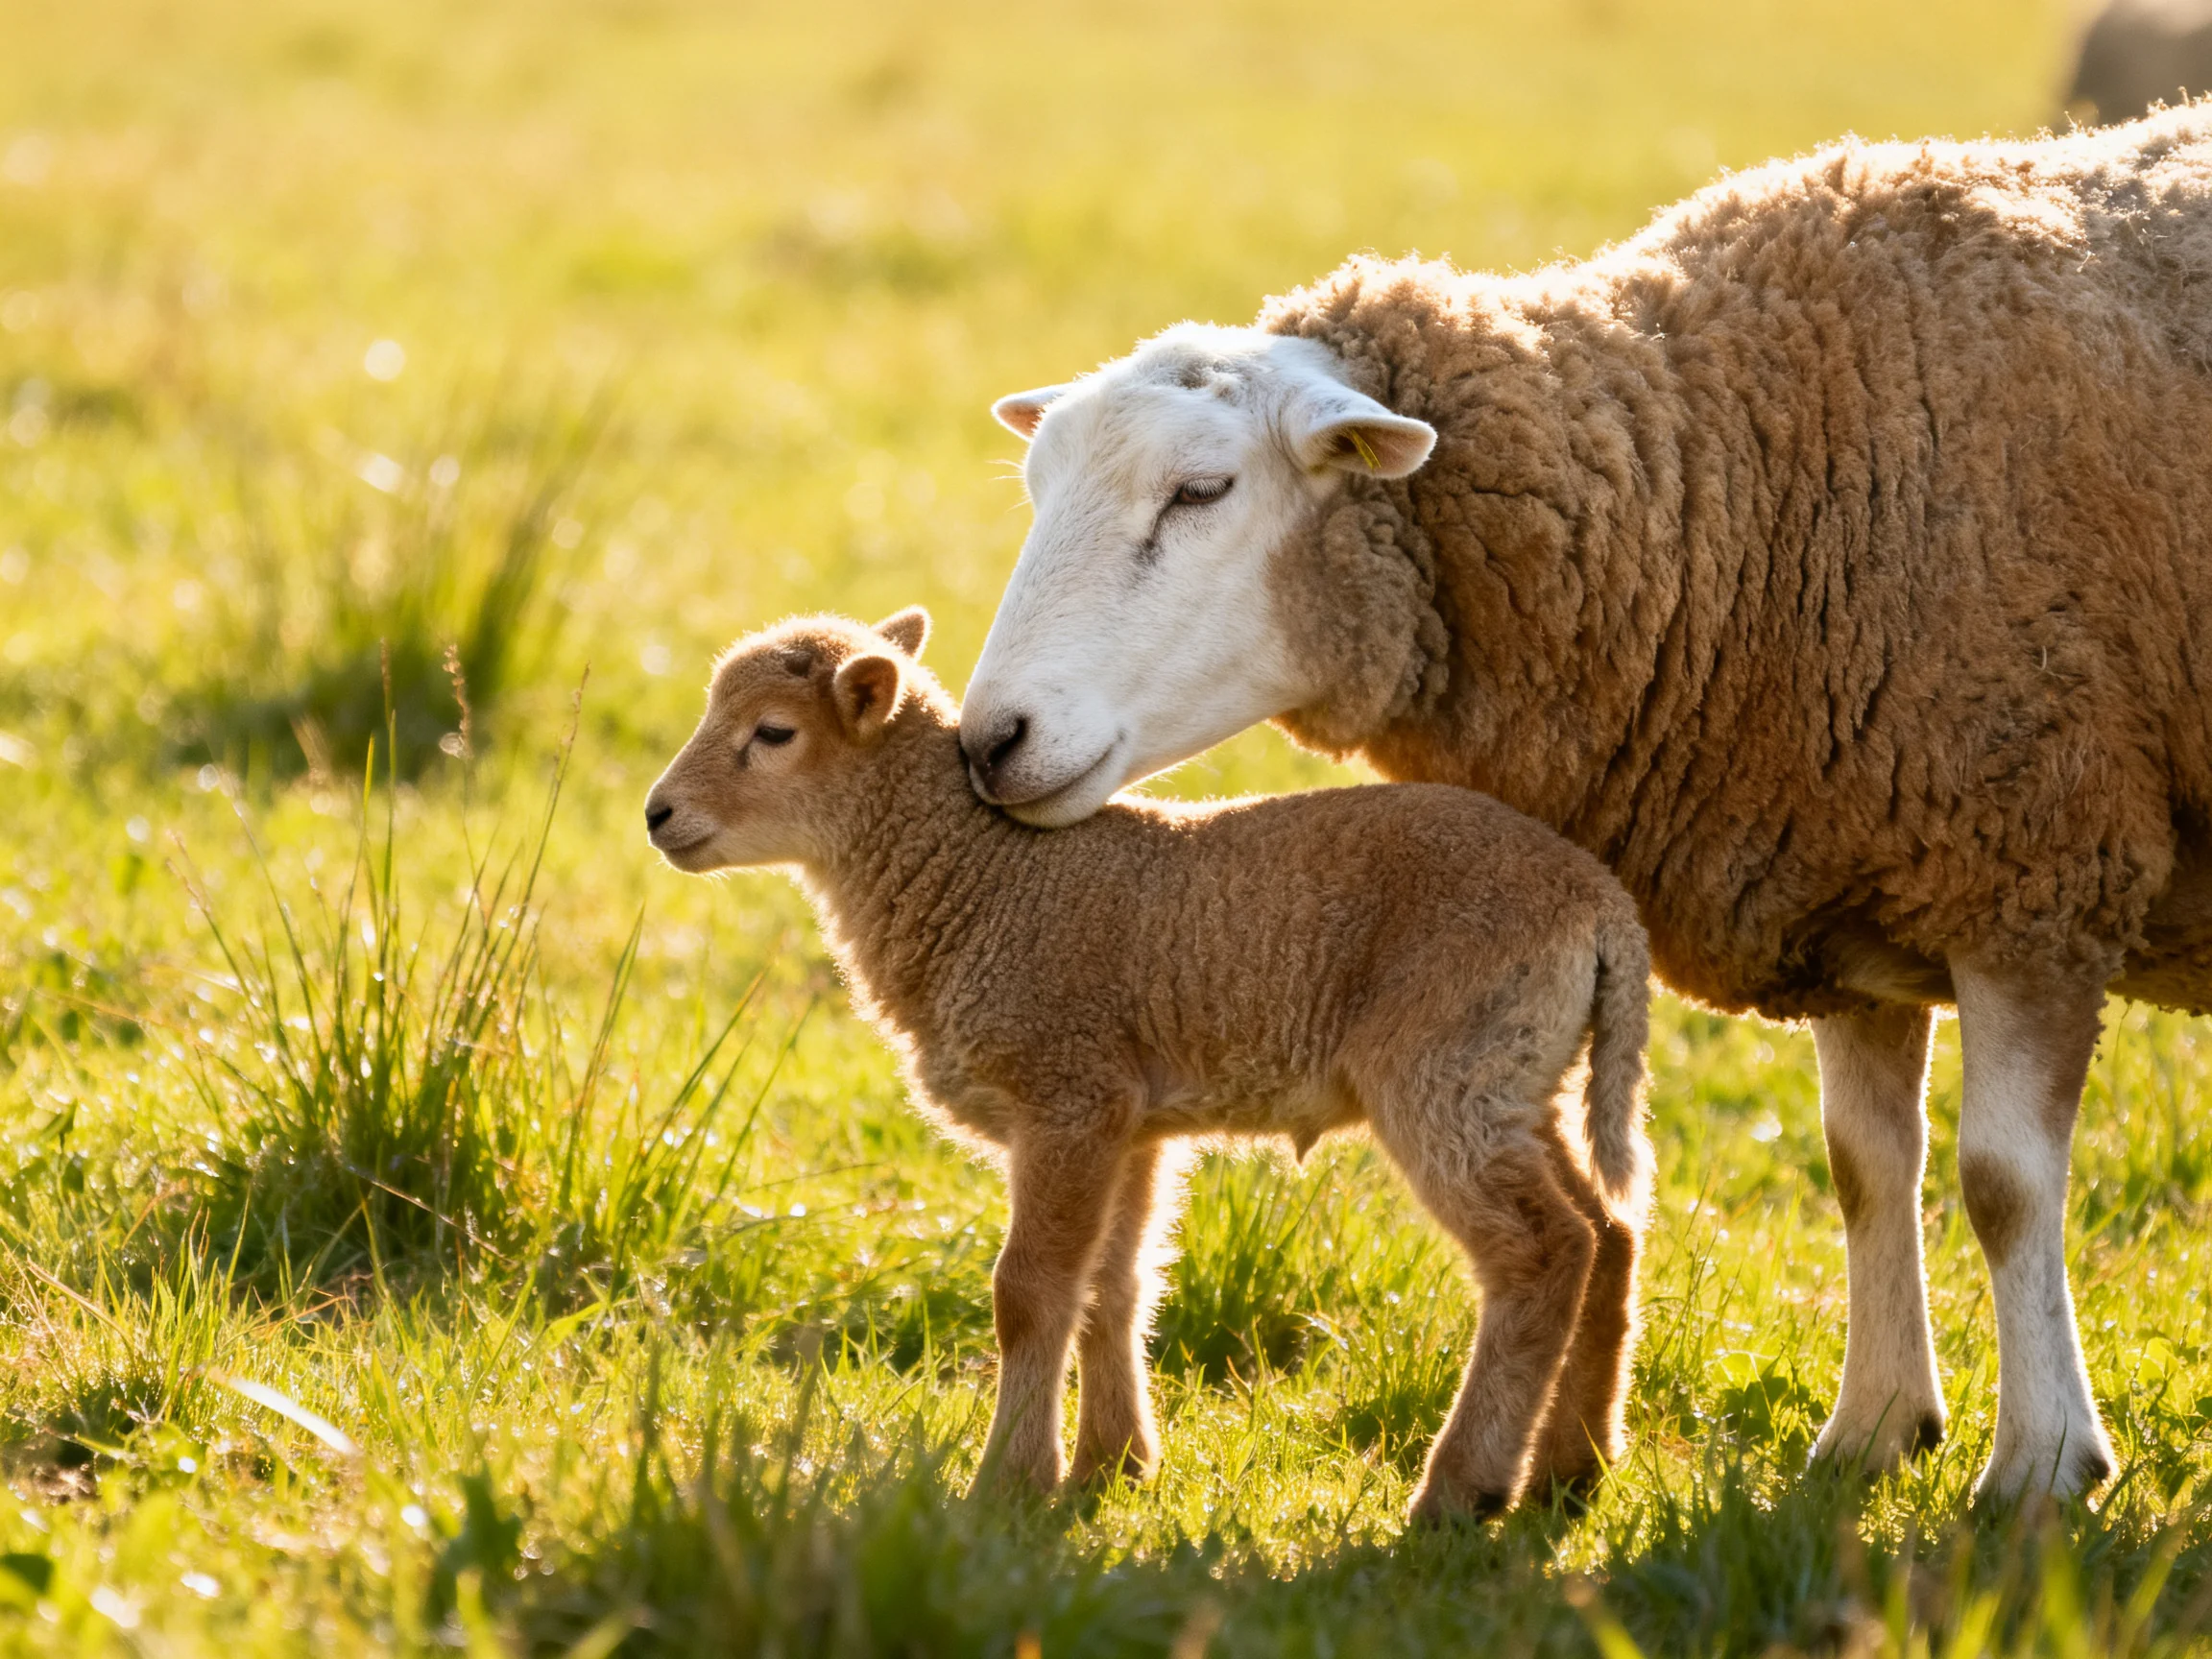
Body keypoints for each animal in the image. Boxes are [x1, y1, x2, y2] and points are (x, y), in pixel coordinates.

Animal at [643, 608, 1654, 1521]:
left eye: (774, 732)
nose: (657, 815)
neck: (977, 877)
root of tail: (1601, 909)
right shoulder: (1130, 1120)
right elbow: (1114, 1285)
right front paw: (1114, 1466)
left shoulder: (1068, 1093)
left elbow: (1029, 1293)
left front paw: (1011, 1484)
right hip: (1520, 1079)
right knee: (1609, 1233)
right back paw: (1573, 1470)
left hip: (1443, 1069)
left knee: (1543, 1251)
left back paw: (1462, 1492)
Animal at [959, 105, 2212, 1500]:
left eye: (1201, 491)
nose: (989, 741)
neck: (1736, 479)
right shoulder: (1853, 875)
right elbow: (1867, 1169)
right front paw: (1876, 1429)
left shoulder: (2035, 869)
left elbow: (2000, 1186)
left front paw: (2044, 1462)